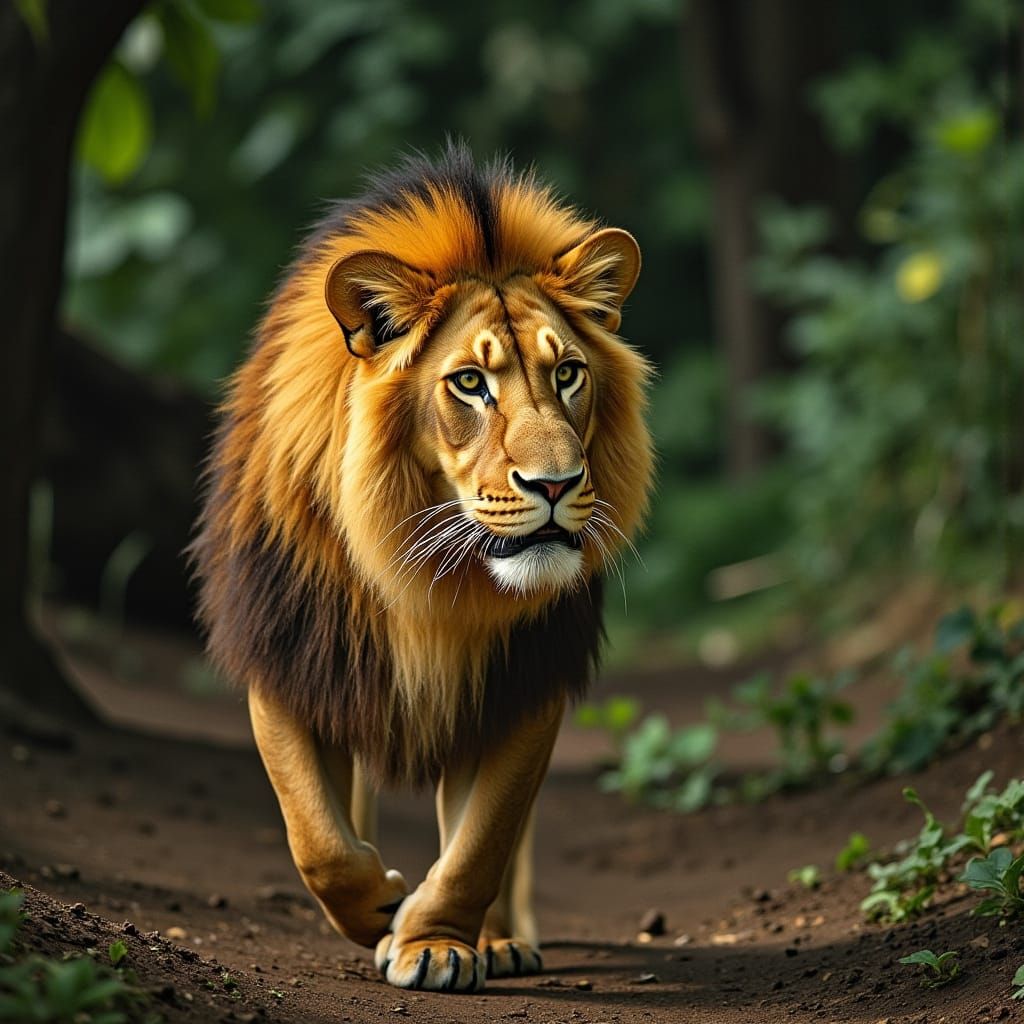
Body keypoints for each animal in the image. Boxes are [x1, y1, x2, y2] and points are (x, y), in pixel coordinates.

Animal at [191, 144, 653, 993]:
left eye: (568, 373)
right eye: (469, 383)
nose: (556, 485)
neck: (431, 577)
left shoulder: (525, 681)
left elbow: (482, 842)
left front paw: (436, 941)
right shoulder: (289, 655)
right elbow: (317, 836)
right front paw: (379, 904)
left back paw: (497, 940)